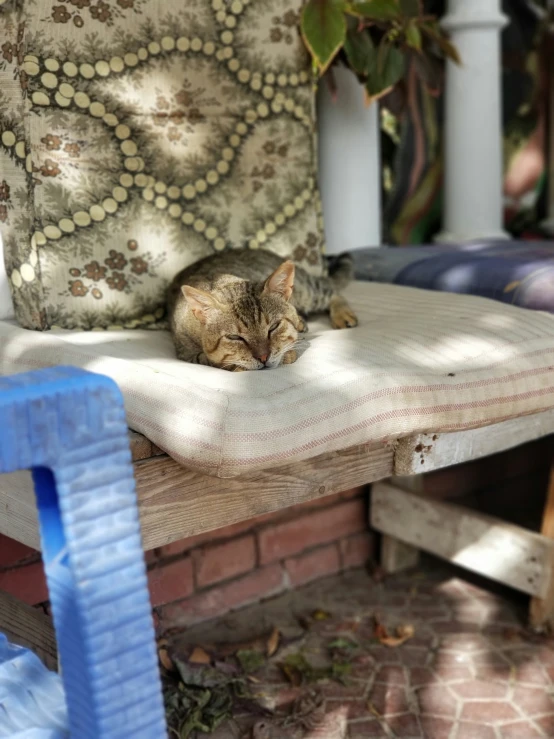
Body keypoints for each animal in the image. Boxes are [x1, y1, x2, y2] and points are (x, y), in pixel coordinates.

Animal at [166, 249, 356, 372]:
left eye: (273, 327)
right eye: (235, 337)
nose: (264, 357)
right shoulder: (188, 354)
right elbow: (217, 361)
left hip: (306, 290)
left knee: (332, 290)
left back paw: (342, 315)